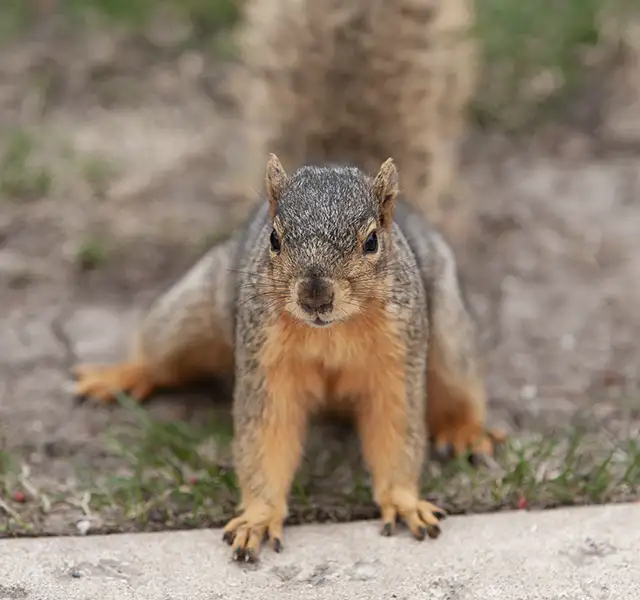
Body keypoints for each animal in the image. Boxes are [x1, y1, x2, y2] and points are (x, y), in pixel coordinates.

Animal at [72, 0, 506, 562]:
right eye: (275, 239)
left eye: (372, 241)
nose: (315, 293)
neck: (332, 330)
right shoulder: (264, 359)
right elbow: (266, 437)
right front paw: (259, 517)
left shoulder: (398, 358)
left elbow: (398, 431)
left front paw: (405, 500)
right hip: (193, 312)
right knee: (162, 356)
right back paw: (121, 374)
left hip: (447, 332)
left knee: (458, 384)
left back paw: (468, 431)